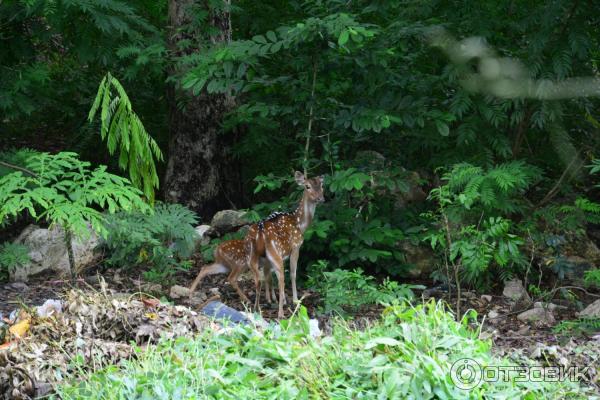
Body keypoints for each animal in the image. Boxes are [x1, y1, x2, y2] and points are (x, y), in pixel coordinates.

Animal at [247, 172, 326, 318]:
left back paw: (256, 309)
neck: (300, 224)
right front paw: (295, 300)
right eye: (307, 186)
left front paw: (276, 299)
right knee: (281, 279)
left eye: (322, 185)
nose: (321, 199)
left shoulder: (275, 257)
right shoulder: (295, 247)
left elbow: (268, 276)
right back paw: (281, 314)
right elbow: (293, 273)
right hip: (275, 255)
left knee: (258, 279)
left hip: (252, 257)